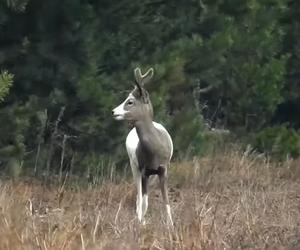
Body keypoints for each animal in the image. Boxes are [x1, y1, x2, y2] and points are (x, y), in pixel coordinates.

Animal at [112, 67, 173, 226]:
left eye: (130, 102)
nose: (113, 111)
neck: (154, 149)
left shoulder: (163, 168)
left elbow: (166, 200)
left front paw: (171, 225)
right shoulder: (144, 169)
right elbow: (144, 201)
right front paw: (142, 223)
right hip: (134, 166)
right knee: (139, 196)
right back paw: (139, 217)